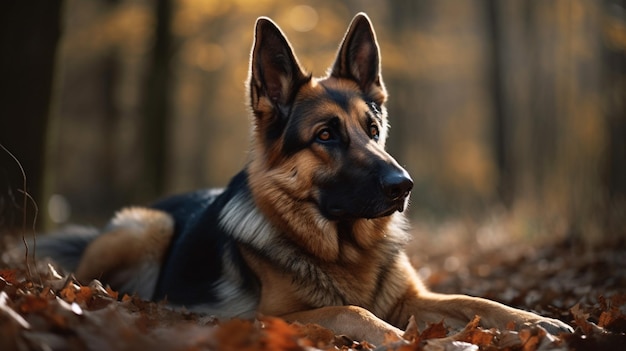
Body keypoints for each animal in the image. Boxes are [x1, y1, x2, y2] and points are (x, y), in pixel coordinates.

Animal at [35, 13, 572, 344]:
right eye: (325, 135)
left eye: (373, 130)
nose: (404, 185)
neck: (346, 251)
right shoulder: (275, 317)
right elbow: (352, 311)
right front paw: (416, 342)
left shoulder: (414, 299)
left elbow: (476, 300)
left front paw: (538, 321)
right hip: (147, 226)